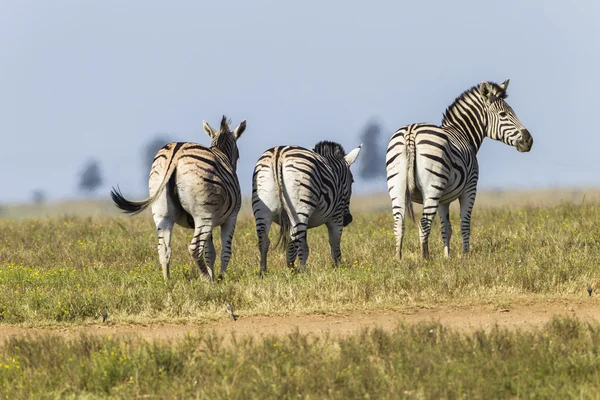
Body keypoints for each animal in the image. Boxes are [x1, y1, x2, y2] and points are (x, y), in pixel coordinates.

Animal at [110, 115, 246, 282]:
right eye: (238, 155)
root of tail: (176, 153)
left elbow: (210, 252)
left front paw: (215, 277)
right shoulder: (231, 217)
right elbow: (225, 251)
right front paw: (220, 278)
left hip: (163, 211)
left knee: (163, 249)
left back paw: (167, 281)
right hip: (204, 215)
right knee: (195, 248)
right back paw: (206, 280)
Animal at [252, 140, 360, 276]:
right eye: (352, 181)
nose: (348, 219)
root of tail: (278, 155)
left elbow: (304, 246)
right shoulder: (336, 214)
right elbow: (335, 242)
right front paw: (339, 268)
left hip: (261, 206)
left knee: (264, 240)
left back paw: (264, 272)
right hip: (299, 208)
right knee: (294, 240)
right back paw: (297, 271)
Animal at [386, 79, 532, 260]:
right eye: (503, 114)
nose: (529, 141)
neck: (463, 133)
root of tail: (411, 132)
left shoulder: (443, 200)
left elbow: (446, 228)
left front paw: (447, 257)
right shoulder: (470, 189)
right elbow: (465, 224)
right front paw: (466, 255)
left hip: (397, 186)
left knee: (399, 223)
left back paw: (398, 259)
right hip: (432, 187)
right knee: (424, 223)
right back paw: (425, 259)